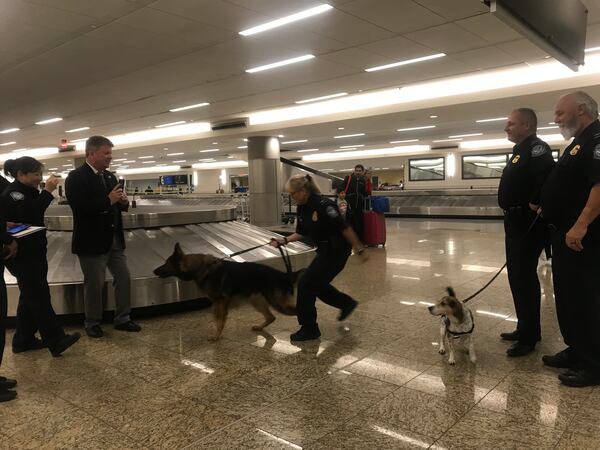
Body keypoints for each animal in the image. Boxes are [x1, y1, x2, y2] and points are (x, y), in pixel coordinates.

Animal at [155, 244, 304, 340]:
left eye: (166, 262)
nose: (154, 271)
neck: (201, 268)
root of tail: (284, 275)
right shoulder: (217, 304)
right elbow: (218, 320)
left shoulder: (220, 303)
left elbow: (220, 322)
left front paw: (216, 336)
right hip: (257, 302)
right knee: (271, 317)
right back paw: (260, 327)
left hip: (278, 304)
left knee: (298, 311)